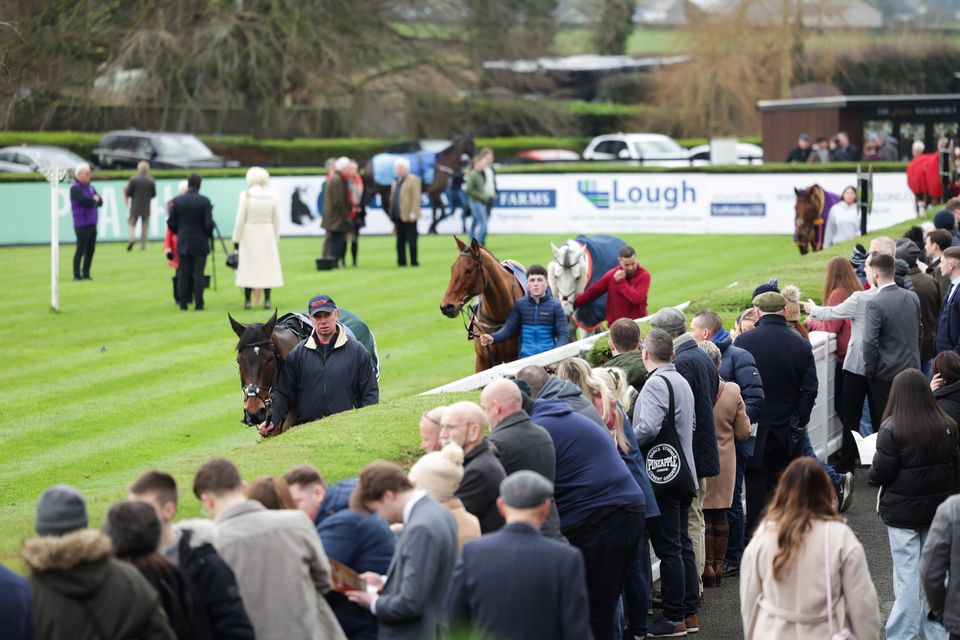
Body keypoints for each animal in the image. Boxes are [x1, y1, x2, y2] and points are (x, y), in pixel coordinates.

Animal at [440, 238, 524, 372]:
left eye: (468, 270)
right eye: (452, 268)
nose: (446, 307)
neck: (498, 317)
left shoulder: (514, 358)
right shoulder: (482, 360)